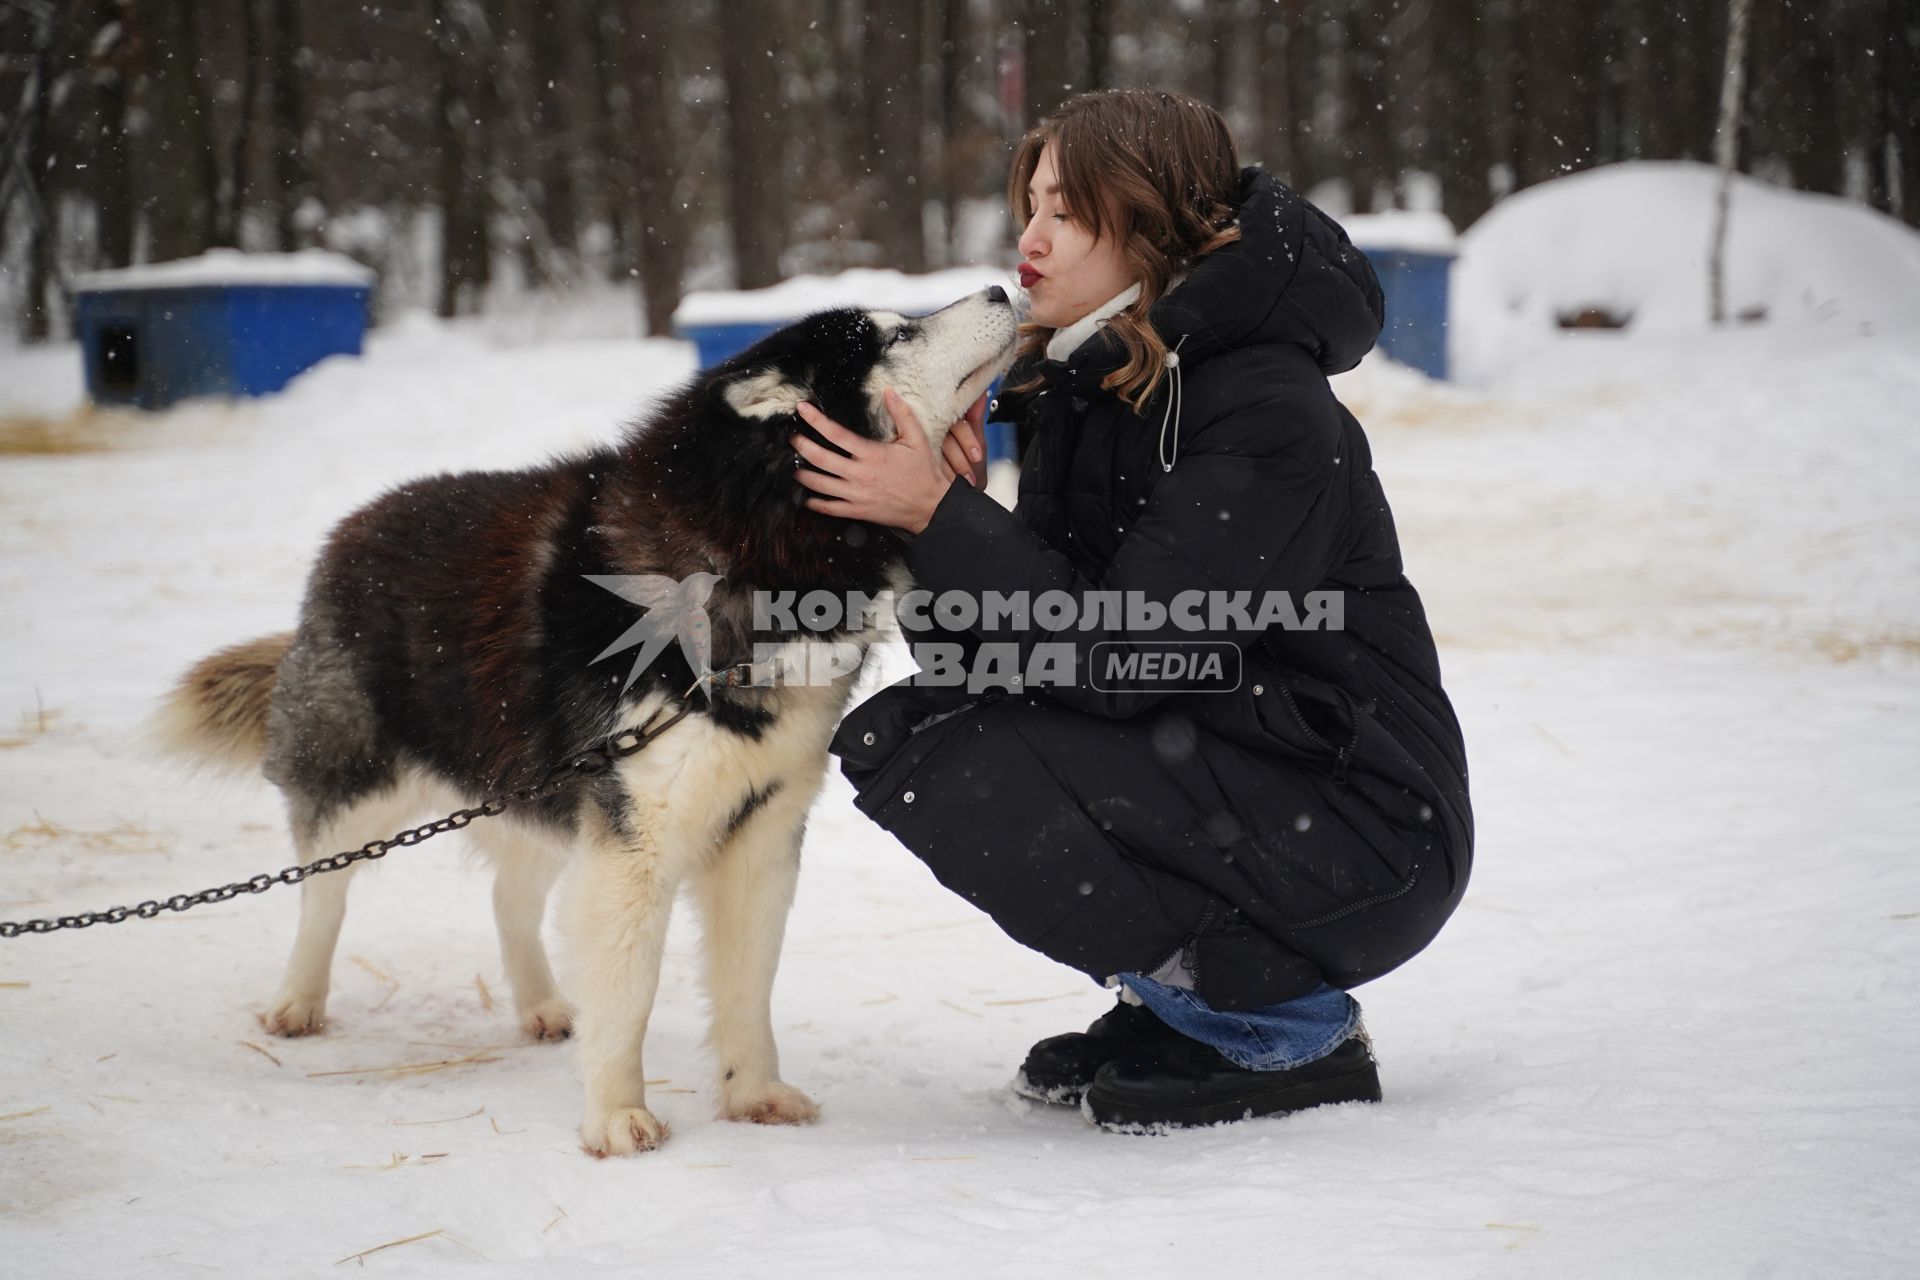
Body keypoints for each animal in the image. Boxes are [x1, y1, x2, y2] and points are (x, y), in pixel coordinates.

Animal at [153, 285, 1021, 1159]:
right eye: (897, 335)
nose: (999, 288)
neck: (756, 553)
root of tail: (352, 528)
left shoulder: (760, 831)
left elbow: (749, 982)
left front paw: (754, 1092)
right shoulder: (634, 840)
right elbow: (631, 987)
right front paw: (616, 1116)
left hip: (534, 787)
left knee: (508, 897)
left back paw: (540, 1004)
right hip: (363, 788)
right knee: (321, 894)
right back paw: (298, 1001)